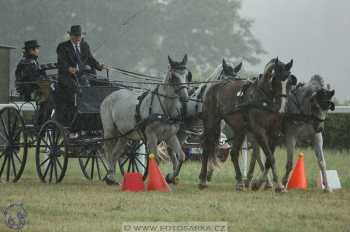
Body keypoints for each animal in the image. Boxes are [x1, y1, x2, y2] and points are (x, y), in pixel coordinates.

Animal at [100, 54, 190, 185]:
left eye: (187, 75)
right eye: (173, 77)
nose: (185, 97)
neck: (164, 109)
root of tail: (109, 96)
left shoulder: (170, 136)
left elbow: (181, 156)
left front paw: (171, 177)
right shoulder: (151, 135)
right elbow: (155, 158)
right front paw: (158, 182)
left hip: (123, 135)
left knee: (115, 154)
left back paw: (113, 178)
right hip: (110, 132)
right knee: (107, 151)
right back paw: (110, 176)